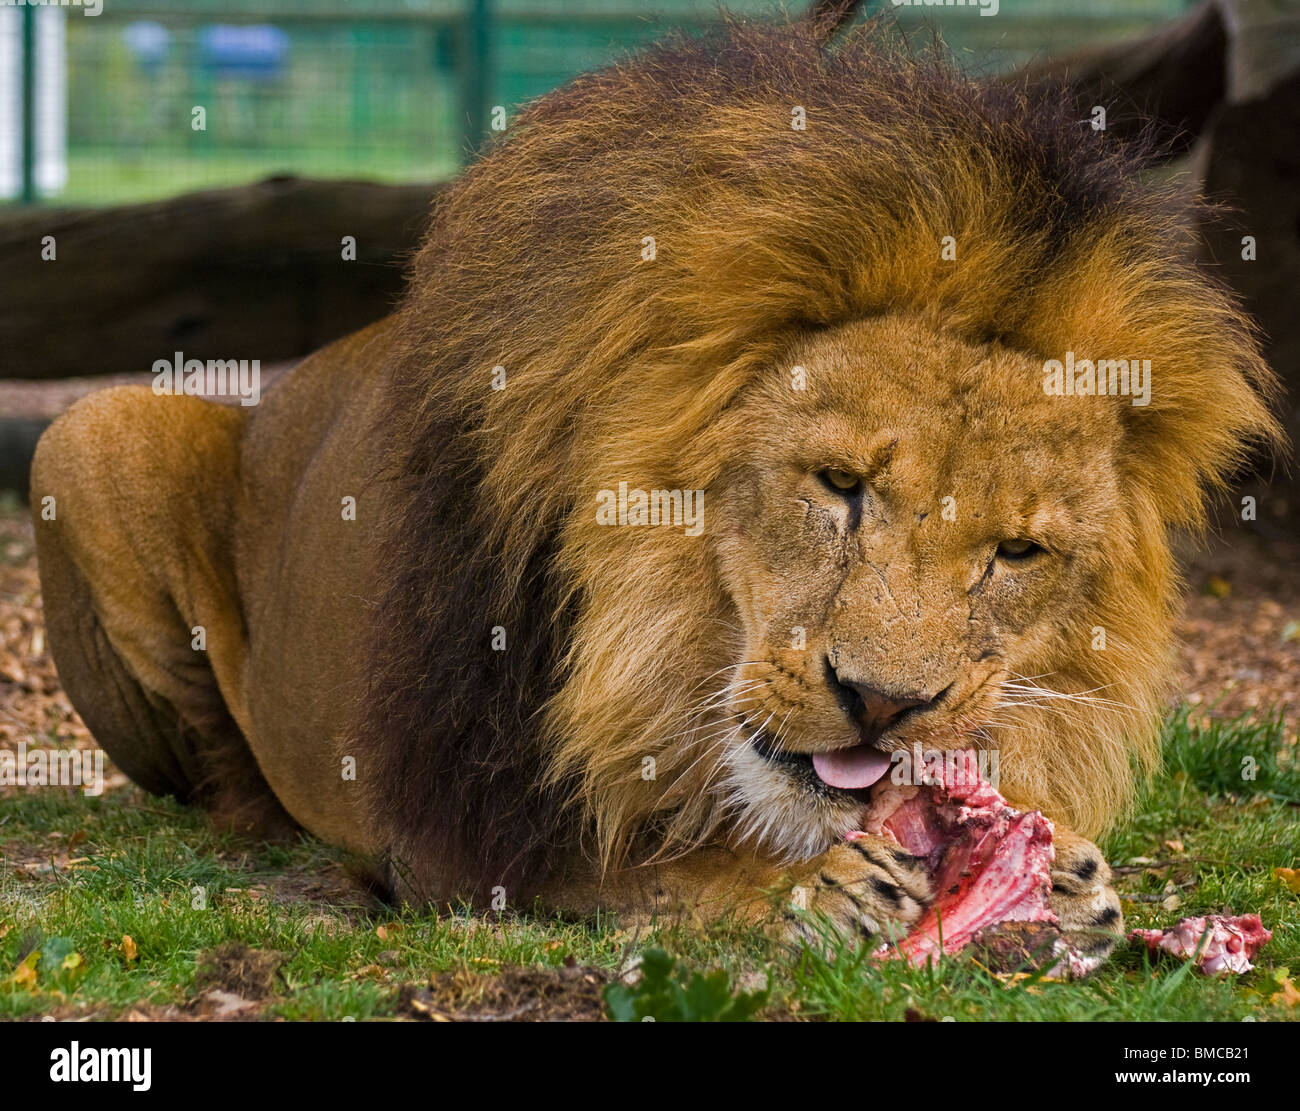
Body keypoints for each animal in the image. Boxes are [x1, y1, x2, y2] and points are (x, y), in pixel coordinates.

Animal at [27, 17, 1279, 966]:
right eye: (838, 485)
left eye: (1017, 553)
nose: (883, 702)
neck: (658, 628)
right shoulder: (459, 823)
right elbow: (647, 868)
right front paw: (816, 888)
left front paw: (1059, 882)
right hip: (85, 435)